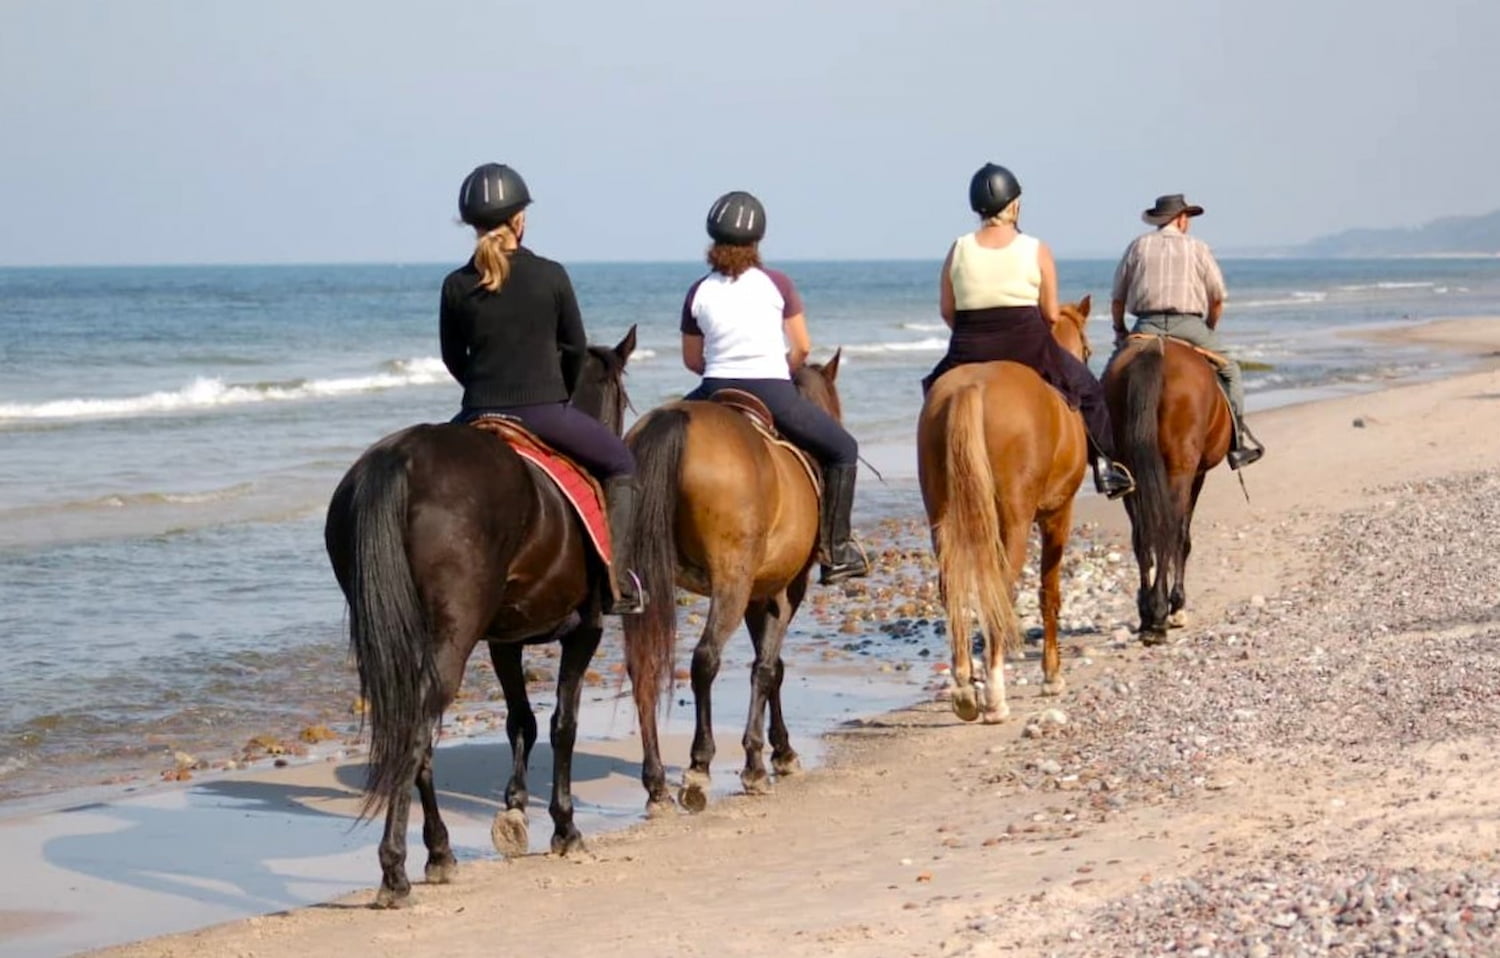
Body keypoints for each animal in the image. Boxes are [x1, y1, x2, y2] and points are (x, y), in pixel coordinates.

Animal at [322, 328, 657, 905]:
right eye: (623, 398)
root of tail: (401, 459)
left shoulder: (504, 639)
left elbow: (521, 720)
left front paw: (515, 808)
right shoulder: (585, 631)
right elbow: (563, 724)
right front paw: (563, 826)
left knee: (415, 731)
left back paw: (439, 852)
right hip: (454, 636)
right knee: (417, 732)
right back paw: (395, 870)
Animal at [621, 356, 852, 815]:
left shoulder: (758, 594)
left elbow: (771, 666)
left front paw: (779, 752)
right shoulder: (784, 590)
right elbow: (767, 668)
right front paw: (761, 761)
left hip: (642, 584)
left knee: (644, 667)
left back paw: (656, 785)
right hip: (731, 581)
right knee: (705, 659)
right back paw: (698, 767)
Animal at [906, 296, 1098, 722]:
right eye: (1089, 350)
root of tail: (971, 387)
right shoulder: (1059, 515)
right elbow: (1049, 592)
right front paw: (1051, 676)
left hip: (941, 517)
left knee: (953, 588)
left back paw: (964, 689)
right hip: (1015, 521)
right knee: (1002, 589)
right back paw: (995, 696)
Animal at [1104, 335, 1230, 644]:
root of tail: (1155, 348)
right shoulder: (1197, 475)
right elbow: (1182, 536)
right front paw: (1177, 605)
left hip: (1130, 472)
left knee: (1143, 536)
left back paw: (1148, 613)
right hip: (1179, 470)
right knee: (1169, 530)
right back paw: (1162, 612)